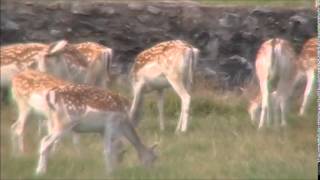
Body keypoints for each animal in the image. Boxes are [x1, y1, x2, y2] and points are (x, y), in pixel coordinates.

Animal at [11, 69, 157, 174]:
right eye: (154, 157)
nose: (150, 172)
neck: (124, 122)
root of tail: (49, 96)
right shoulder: (111, 124)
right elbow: (108, 150)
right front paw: (110, 172)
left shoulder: (102, 131)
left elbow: (109, 148)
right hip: (63, 122)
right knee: (43, 140)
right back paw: (39, 171)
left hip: (52, 120)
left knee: (38, 137)